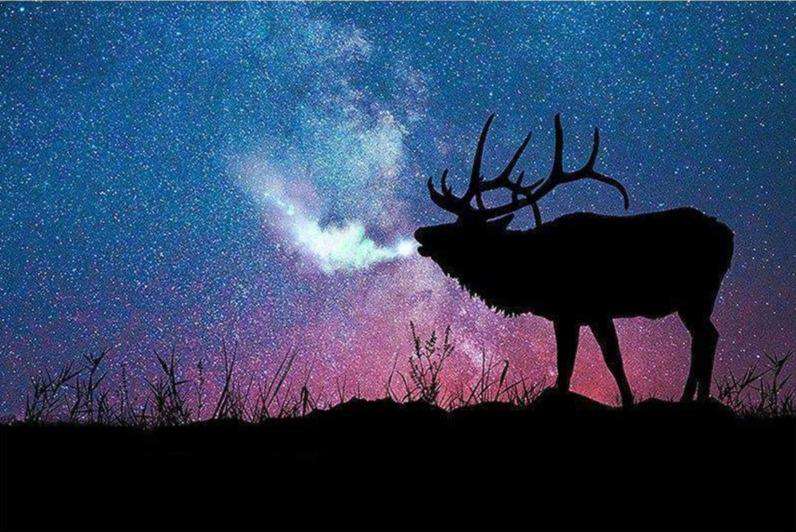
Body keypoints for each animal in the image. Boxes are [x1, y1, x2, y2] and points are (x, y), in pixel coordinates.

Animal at [414, 114, 734, 406]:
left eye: (463, 229)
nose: (421, 232)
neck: (525, 275)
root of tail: (728, 236)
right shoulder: (568, 314)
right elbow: (568, 364)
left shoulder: (591, 308)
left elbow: (604, 359)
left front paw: (628, 400)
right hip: (694, 300)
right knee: (707, 337)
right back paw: (695, 396)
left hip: (697, 295)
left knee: (705, 338)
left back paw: (692, 398)